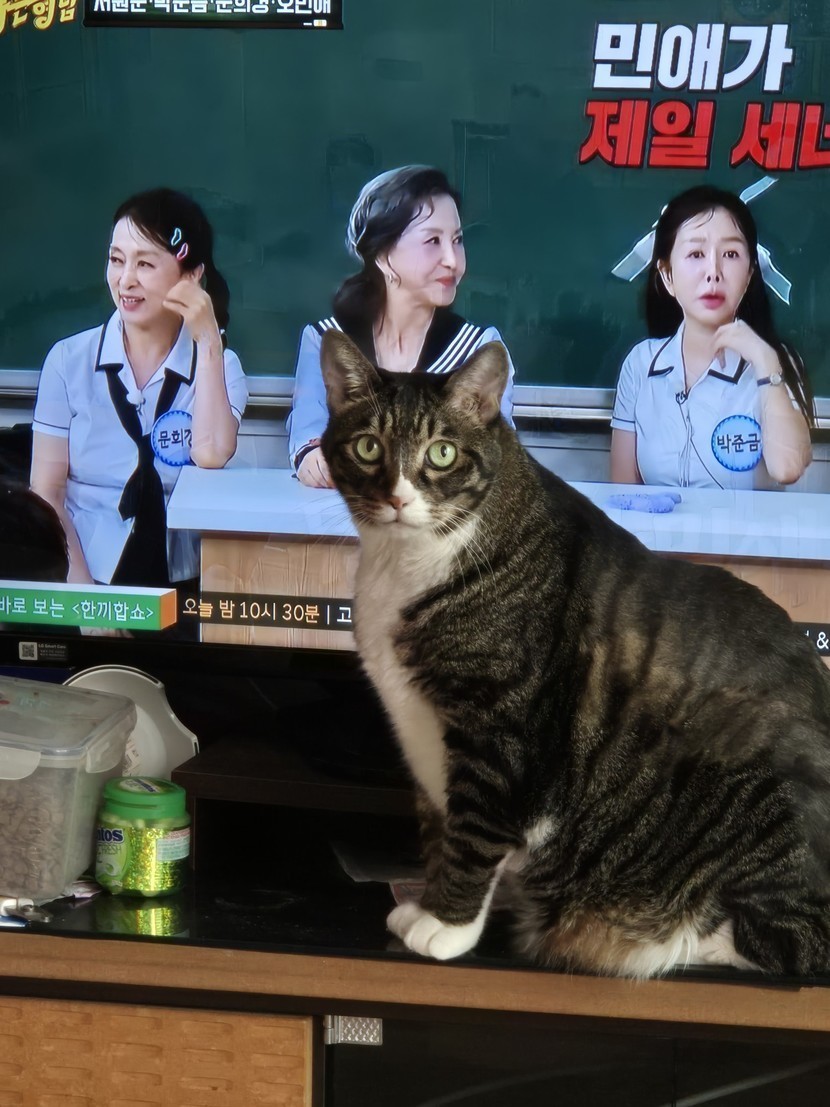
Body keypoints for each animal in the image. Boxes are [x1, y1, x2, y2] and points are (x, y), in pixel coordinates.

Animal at [319, 330, 830, 979]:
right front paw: (427, 903)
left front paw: (447, 926)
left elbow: (473, 833)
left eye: (442, 453)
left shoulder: (500, 730)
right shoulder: (420, 735)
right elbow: (438, 829)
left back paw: (634, 938)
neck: (409, 562)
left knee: (793, 943)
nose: (396, 497)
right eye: (367, 447)